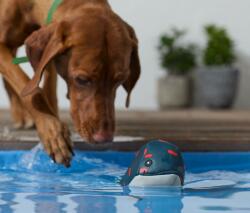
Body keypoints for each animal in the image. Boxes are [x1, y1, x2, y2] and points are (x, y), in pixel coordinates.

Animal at [0, 0, 141, 166]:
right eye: (82, 79)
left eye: (120, 80)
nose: (104, 138)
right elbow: (26, 84)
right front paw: (51, 130)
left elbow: (48, 85)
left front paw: (54, 126)